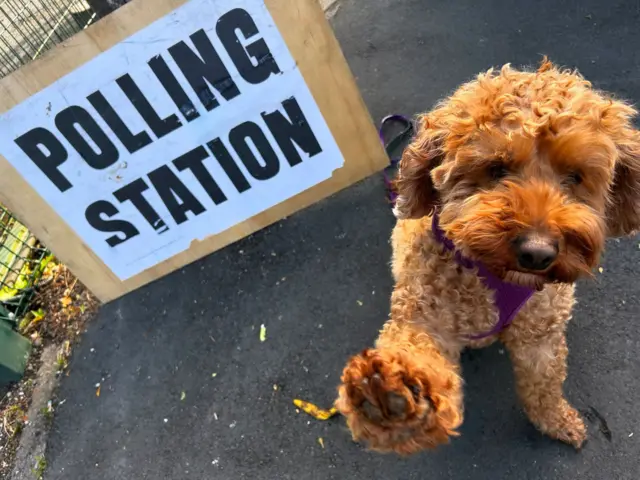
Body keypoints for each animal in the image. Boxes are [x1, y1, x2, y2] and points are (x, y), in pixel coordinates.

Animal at [336, 59, 640, 454]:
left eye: (575, 176)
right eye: (496, 169)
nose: (537, 253)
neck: (494, 276)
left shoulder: (540, 337)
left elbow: (544, 388)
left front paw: (557, 420)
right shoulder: (426, 318)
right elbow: (415, 350)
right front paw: (391, 397)